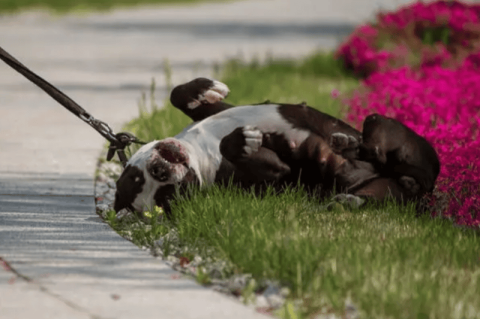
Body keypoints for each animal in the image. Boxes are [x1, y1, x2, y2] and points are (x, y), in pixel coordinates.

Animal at [114, 78, 440, 218]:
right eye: (169, 195)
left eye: (136, 176)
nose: (161, 170)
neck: (199, 148)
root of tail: (420, 185)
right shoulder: (276, 173)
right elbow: (238, 148)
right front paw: (241, 141)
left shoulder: (216, 112)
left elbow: (177, 94)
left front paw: (207, 87)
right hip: (383, 169)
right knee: (375, 165)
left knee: (374, 149)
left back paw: (347, 142)